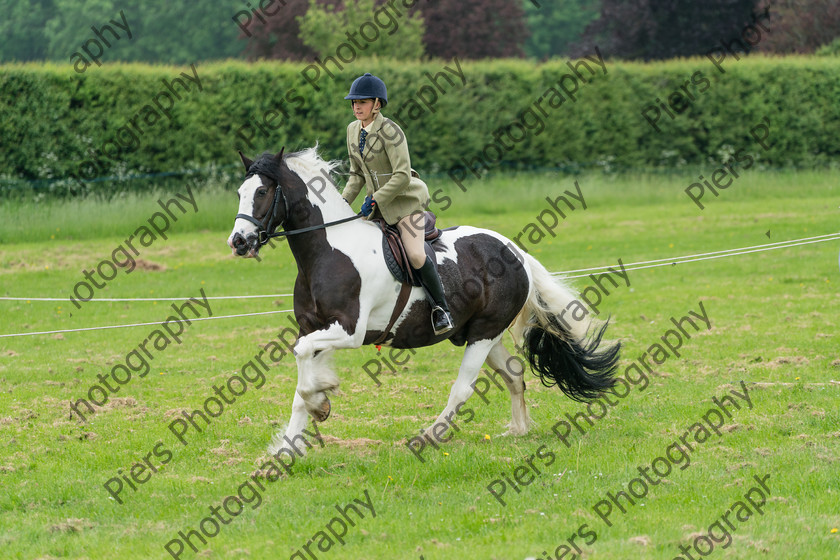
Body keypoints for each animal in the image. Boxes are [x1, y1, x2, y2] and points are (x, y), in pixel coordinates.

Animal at [226, 147, 620, 458]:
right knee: (514, 374)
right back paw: (518, 430)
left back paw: (428, 436)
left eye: (262, 191)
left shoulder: (349, 332)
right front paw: (289, 444)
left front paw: (318, 401)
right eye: (239, 192)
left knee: (463, 388)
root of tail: (515, 251)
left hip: (483, 334)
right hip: (482, 333)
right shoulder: (313, 326)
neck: (327, 251)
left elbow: (303, 361)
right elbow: (301, 370)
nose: (239, 242)